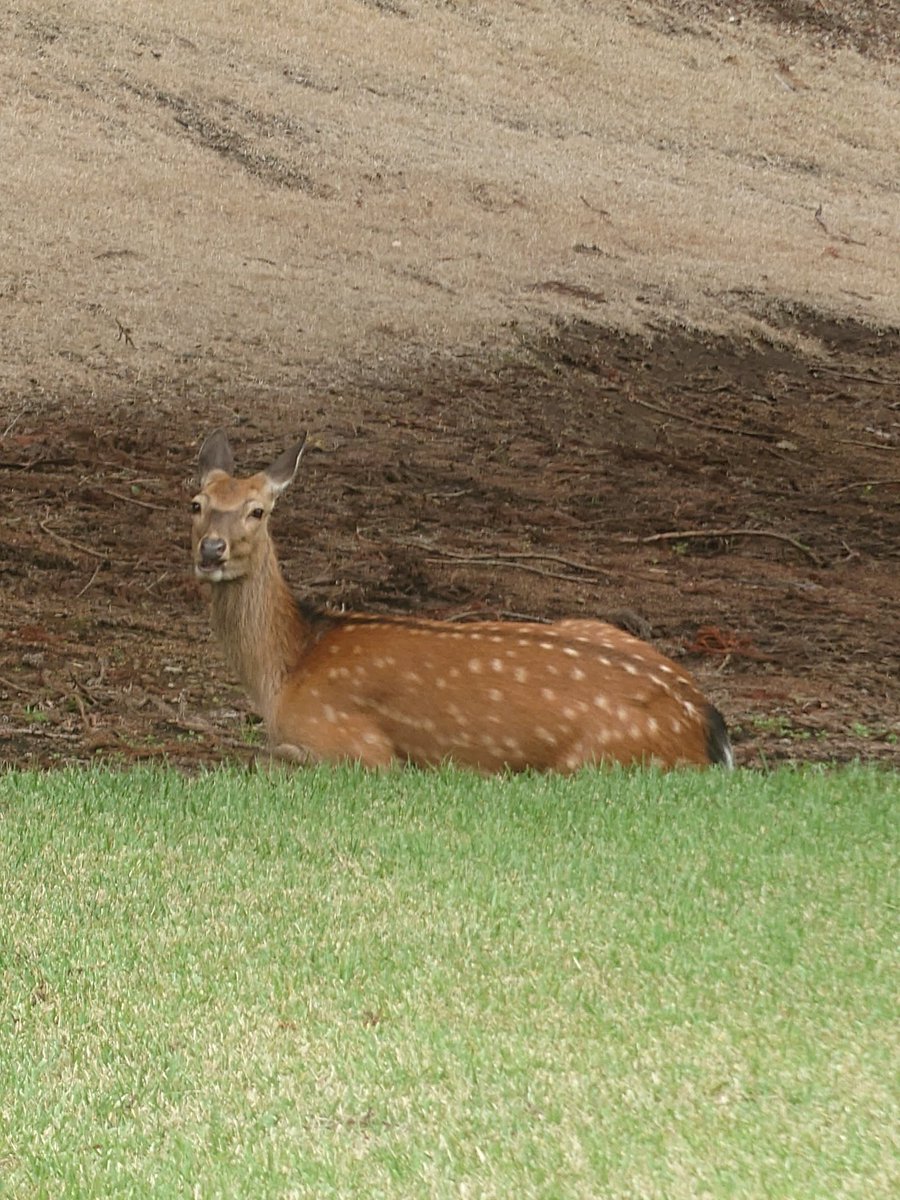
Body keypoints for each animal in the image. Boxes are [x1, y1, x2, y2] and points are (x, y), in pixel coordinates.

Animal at [191, 430, 733, 772]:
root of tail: (707, 724)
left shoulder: (355, 746)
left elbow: (268, 758)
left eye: (257, 511)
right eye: (196, 504)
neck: (287, 669)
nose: (211, 550)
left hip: (592, 759)